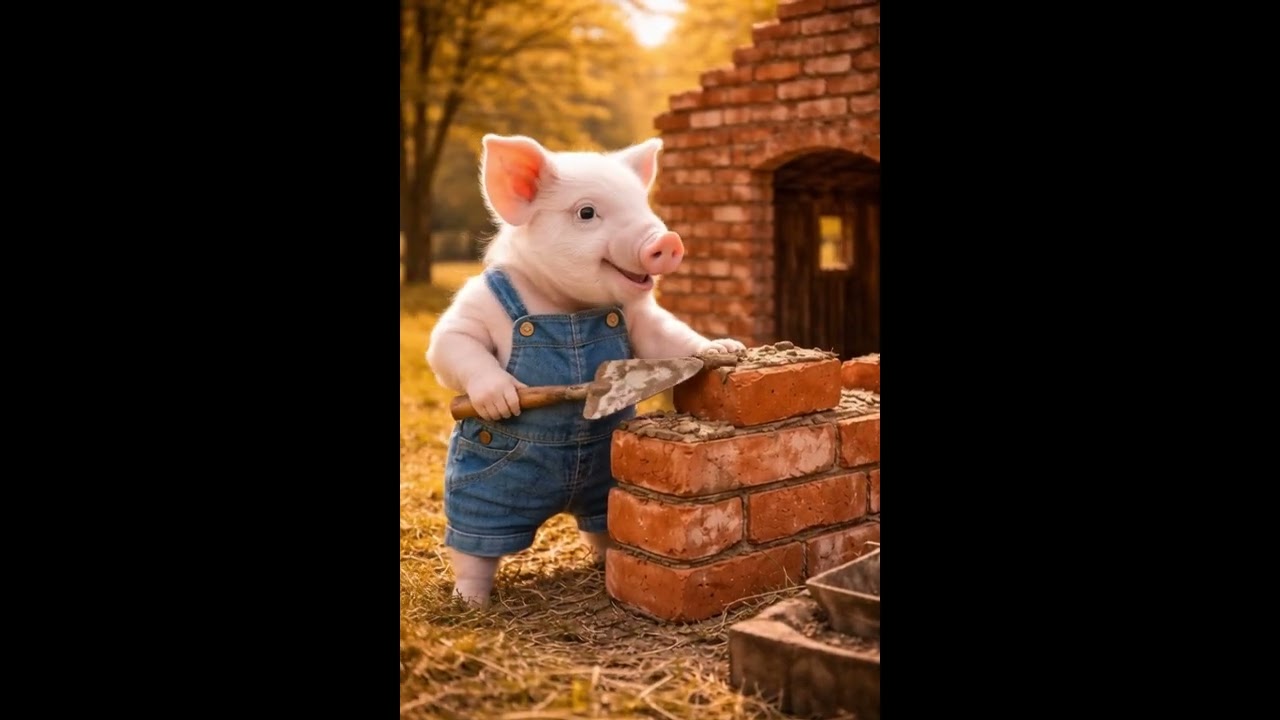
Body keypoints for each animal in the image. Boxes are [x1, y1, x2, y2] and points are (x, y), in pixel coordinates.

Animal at [426, 134, 746, 608]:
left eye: (642, 204)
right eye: (587, 213)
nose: (668, 239)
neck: (568, 307)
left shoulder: (640, 318)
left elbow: (667, 335)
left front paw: (726, 349)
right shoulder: (473, 309)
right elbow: (451, 344)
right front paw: (503, 399)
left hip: (600, 491)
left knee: (601, 525)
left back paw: (605, 564)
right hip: (486, 493)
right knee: (475, 544)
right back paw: (471, 601)